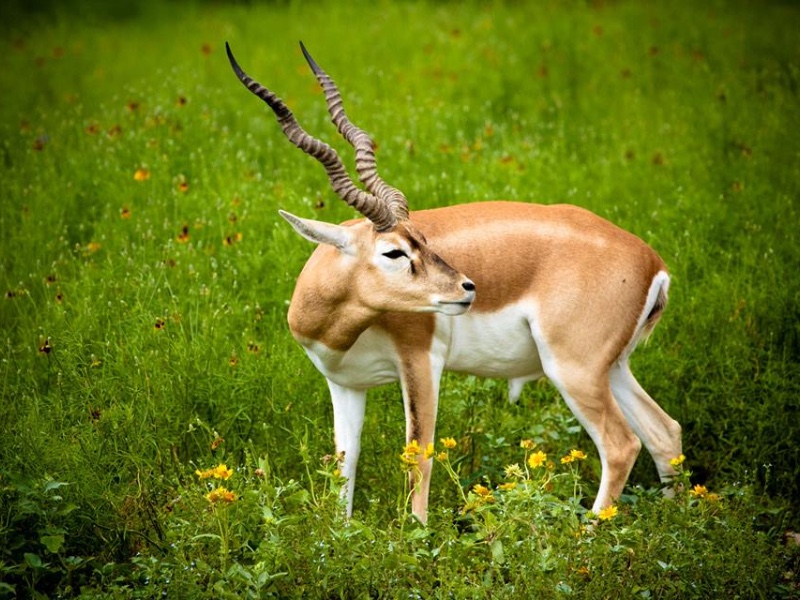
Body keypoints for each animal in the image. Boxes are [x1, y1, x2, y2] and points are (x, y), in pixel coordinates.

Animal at [225, 42, 680, 524]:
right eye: (396, 251)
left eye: (422, 239)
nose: (468, 288)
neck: (336, 320)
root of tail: (650, 261)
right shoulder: (345, 383)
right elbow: (344, 465)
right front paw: (340, 534)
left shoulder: (422, 362)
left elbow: (418, 456)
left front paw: (416, 534)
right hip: (611, 368)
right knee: (664, 433)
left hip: (573, 369)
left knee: (621, 444)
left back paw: (588, 530)